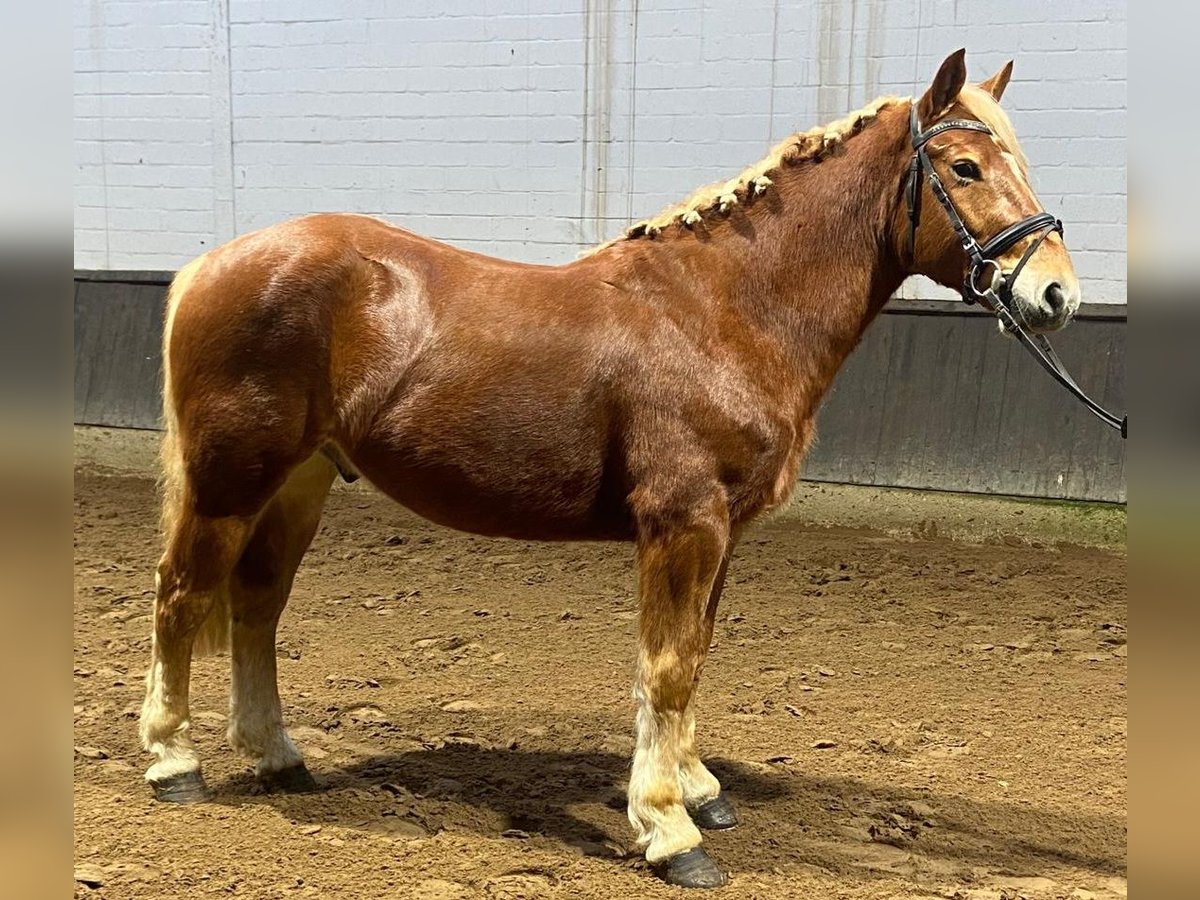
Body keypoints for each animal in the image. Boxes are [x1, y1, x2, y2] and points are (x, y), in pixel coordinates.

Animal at [138, 51, 1080, 888]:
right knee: (181, 597)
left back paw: (278, 757)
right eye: (965, 167)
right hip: (230, 482)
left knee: (256, 607)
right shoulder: (682, 522)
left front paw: (698, 792)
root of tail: (211, 264)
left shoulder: (723, 533)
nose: (1056, 295)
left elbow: (695, 655)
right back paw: (174, 762)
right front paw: (668, 832)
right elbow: (665, 668)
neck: (724, 311)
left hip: (297, 485)